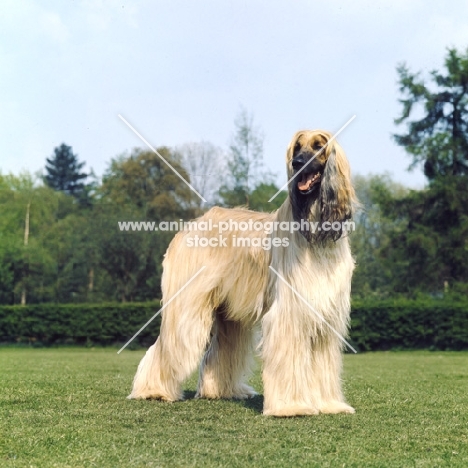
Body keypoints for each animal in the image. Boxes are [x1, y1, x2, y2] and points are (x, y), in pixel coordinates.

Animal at [127, 129, 354, 416]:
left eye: (318, 146)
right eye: (297, 148)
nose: (297, 164)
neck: (315, 233)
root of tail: (190, 226)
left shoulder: (325, 313)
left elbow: (323, 362)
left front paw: (329, 404)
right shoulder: (289, 312)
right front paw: (291, 406)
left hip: (228, 312)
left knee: (219, 350)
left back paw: (219, 391)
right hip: (186, 305)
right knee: (169, 345)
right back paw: (153, 390)